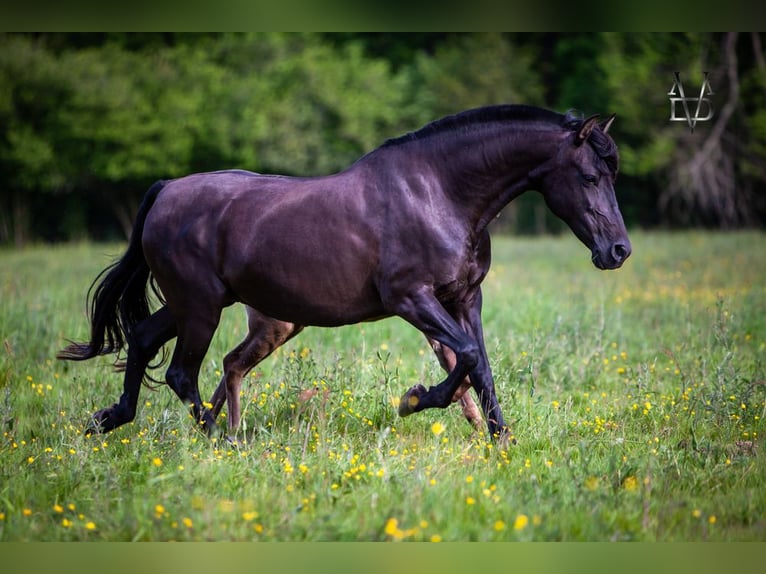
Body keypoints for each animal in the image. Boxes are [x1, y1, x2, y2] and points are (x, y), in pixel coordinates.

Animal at [58, 104, 632, 446]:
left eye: (612, 174)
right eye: (589, 176)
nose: (618, 250)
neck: (438, 193)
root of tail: (165, 191)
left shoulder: (465, 299)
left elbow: (482, 367)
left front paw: (502, 441)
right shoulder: (410, 298)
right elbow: (467, 359)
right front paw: (414, 399)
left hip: (192, 305)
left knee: (142, 339)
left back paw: (110, 419)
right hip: (200, 308)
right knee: (182, 372)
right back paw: (221, 440)